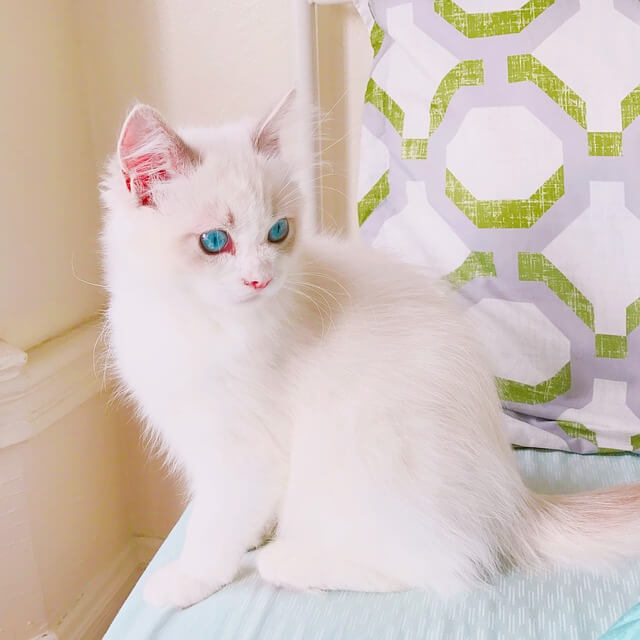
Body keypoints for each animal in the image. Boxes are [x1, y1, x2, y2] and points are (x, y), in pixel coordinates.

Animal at [100, 92, 640, 608]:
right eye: (215, 241)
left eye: (278, 232)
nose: (261, 279)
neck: (194, 321)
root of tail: (515, 502)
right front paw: (250, 537)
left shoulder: (245, 451)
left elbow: (214, 528)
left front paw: (190, 578)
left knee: (431, 568)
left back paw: (287, 560)